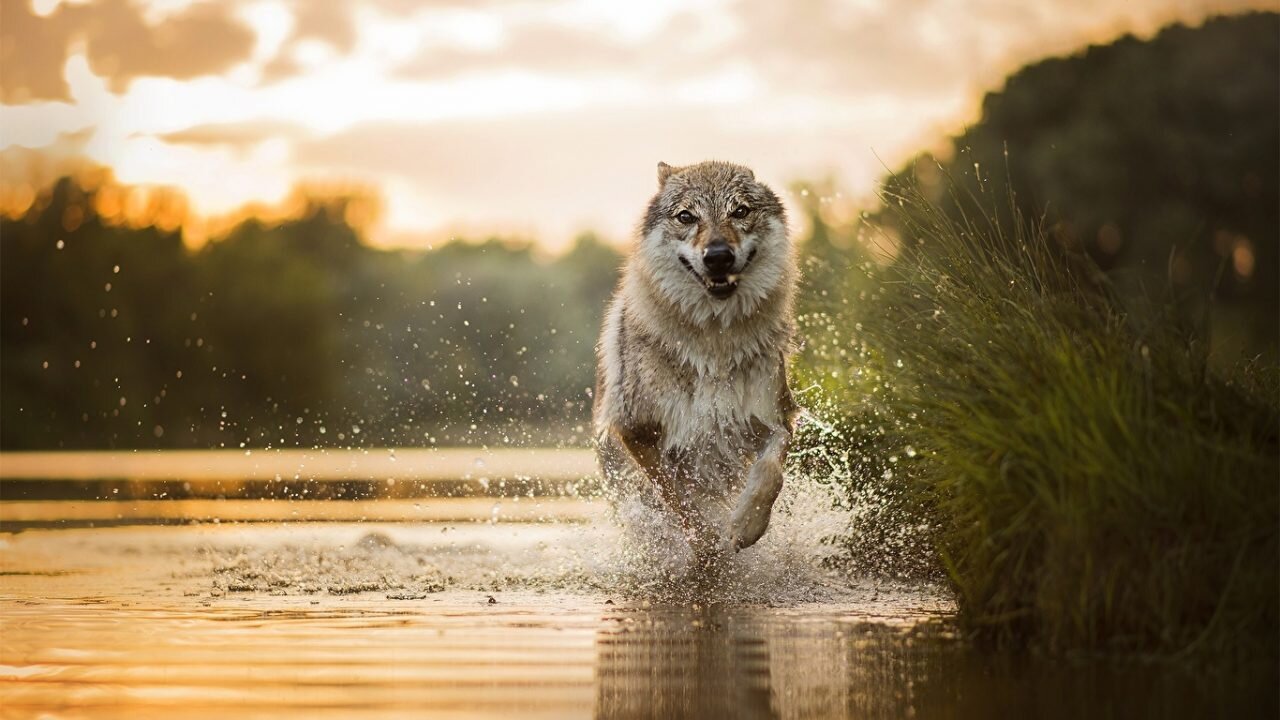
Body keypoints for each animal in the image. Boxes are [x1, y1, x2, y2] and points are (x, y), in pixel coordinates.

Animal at [591, 161, 793, 556]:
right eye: (686, 216)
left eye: (739, 211)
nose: (718, 256)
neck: (714, 344)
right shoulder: (638, 431)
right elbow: (677, 497)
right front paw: (705, 546)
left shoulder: (775, 417)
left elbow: (770, 473)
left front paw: (745, 527)